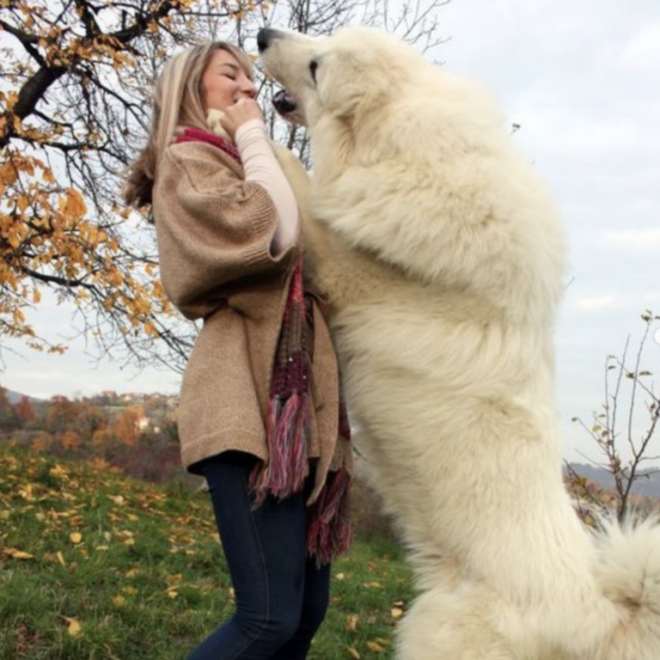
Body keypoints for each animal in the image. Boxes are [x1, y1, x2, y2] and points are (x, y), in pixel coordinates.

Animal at [256, 25, 660, 660]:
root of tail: (599, 617)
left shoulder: (343, 266)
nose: (262, 33)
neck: (408, 151)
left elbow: (300, 182)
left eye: (318, 65)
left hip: (438, 634)